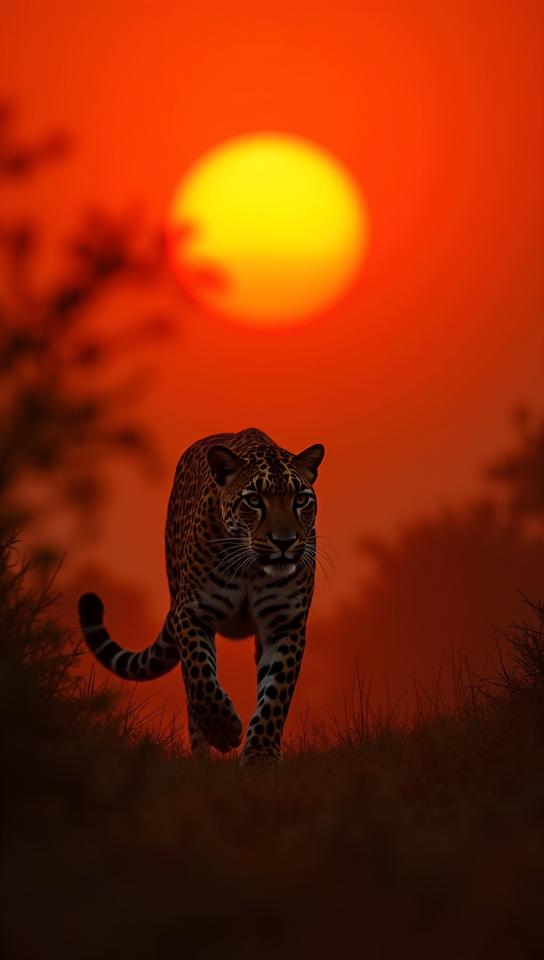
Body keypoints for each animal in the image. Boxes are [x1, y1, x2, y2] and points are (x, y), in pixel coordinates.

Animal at [78, 427, 324, 765]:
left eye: (300, 499)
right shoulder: (192, 613)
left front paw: (260, 756)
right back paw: (202, 755)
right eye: (253, 500)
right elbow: (201, 679)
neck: (252, 569)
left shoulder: (285, 623)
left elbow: (275, 693)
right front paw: (222, 729)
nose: (284, 542)